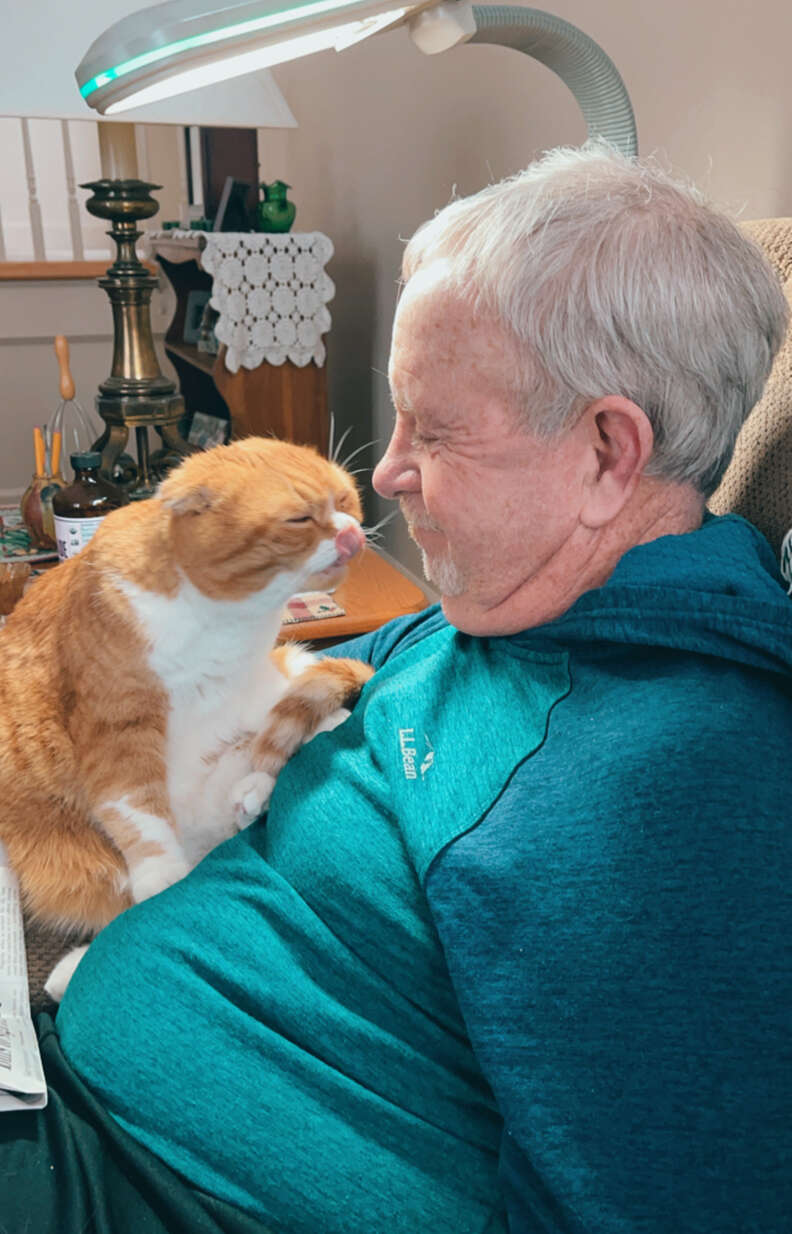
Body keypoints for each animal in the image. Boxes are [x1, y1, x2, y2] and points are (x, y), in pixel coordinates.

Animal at [0, 439, 372, 997]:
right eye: (300, 518)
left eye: (347, 500)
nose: (351, 533)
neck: (224, 621)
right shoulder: (117, 726)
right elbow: (136, 809)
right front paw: (163, 878)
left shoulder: (256, 683)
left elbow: (286, 722)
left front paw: (266, 771)